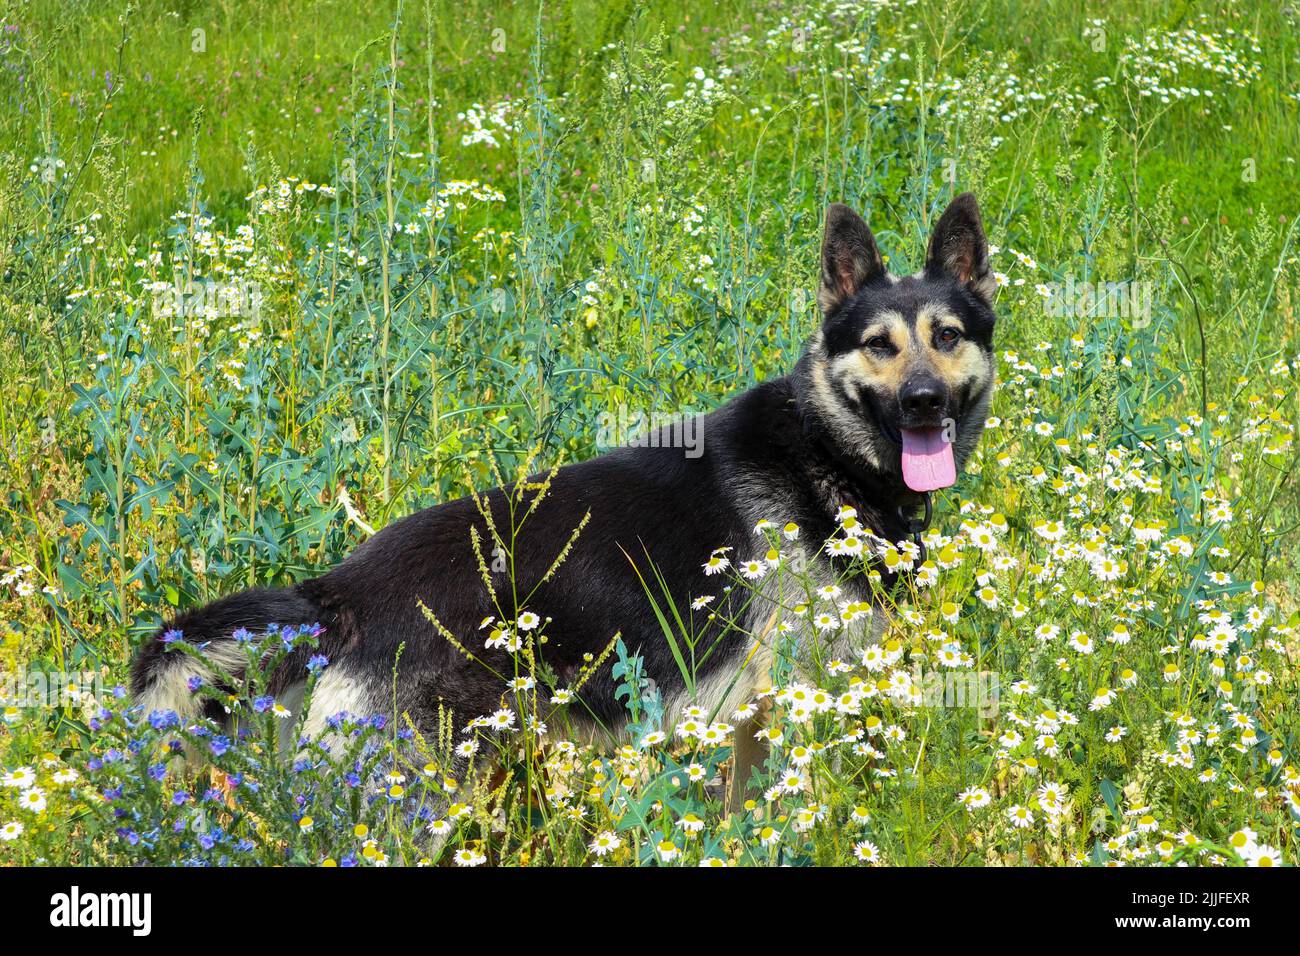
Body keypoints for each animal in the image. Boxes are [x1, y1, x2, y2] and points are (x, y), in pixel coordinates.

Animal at [129, 195, 993, 806]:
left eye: (948, 336)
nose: (923, 403)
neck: (825, 453)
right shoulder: (791, 708)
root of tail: (339, 591)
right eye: (879, 345)